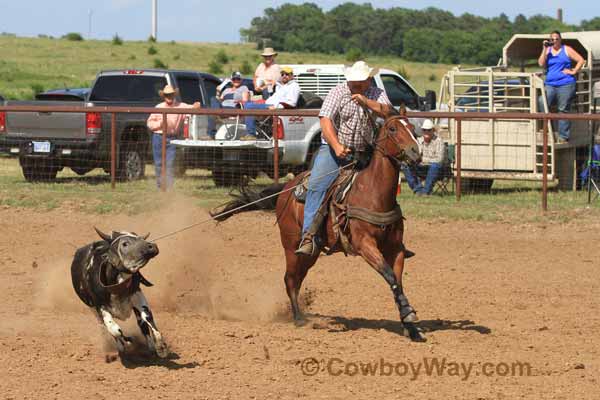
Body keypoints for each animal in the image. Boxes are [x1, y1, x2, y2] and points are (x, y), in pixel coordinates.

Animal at [71, 230, 168, 358]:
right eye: (124, 243)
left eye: (139, 238)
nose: (152, 246)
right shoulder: (100, 306)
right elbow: (114, 329)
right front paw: (127, 342)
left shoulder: (137, 295)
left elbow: (147, 317)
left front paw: (160, 346)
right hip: (92, 309)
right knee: (107, 328)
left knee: (141, 325)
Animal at [213, 111, 424, 342]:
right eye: (393, 129)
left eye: (412, 127)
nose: (416, 152)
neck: (373, 193)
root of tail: (287, 188)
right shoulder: (365, 245)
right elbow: (389, 274)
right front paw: (409, 314)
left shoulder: (395, 248)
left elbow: (397, 280)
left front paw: (411, 326)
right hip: (291, 245)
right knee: (289, 278)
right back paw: (298, 318)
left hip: (311, 253)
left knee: (297, 278)